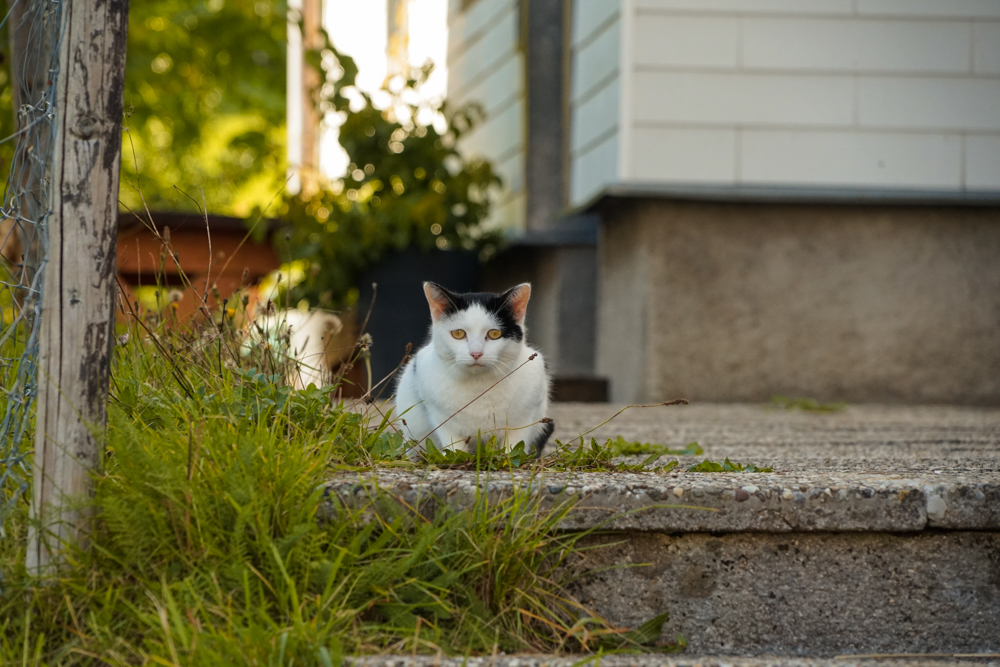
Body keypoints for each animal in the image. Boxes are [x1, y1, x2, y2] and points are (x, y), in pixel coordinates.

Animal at [394, 280, 556, 456]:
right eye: (458, 333)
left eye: (494, 333)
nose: (476, 353)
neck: (479, 385)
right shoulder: (442, 419)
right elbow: (454, 448)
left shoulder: (524, 419)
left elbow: (513, 447)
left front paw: (508, 457)